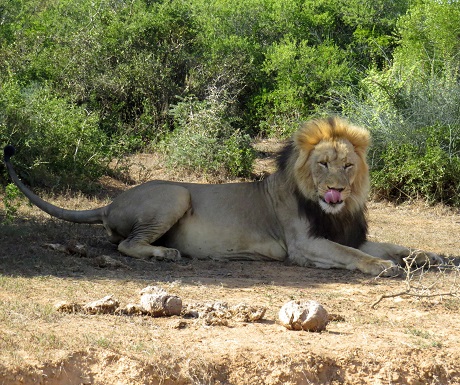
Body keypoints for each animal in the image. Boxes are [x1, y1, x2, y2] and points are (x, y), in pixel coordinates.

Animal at [3, 115, 442, 274]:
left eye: (348, 166)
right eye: (322, 164)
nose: (336, 189)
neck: (335, 211)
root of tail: (110, 202)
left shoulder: (350, 232)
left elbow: (393, 245)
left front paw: (431, 257)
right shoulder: (303, 245)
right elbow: (352, 255)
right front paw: (383, 268)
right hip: (175, 195)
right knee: (126, 245)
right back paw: (165, 254)